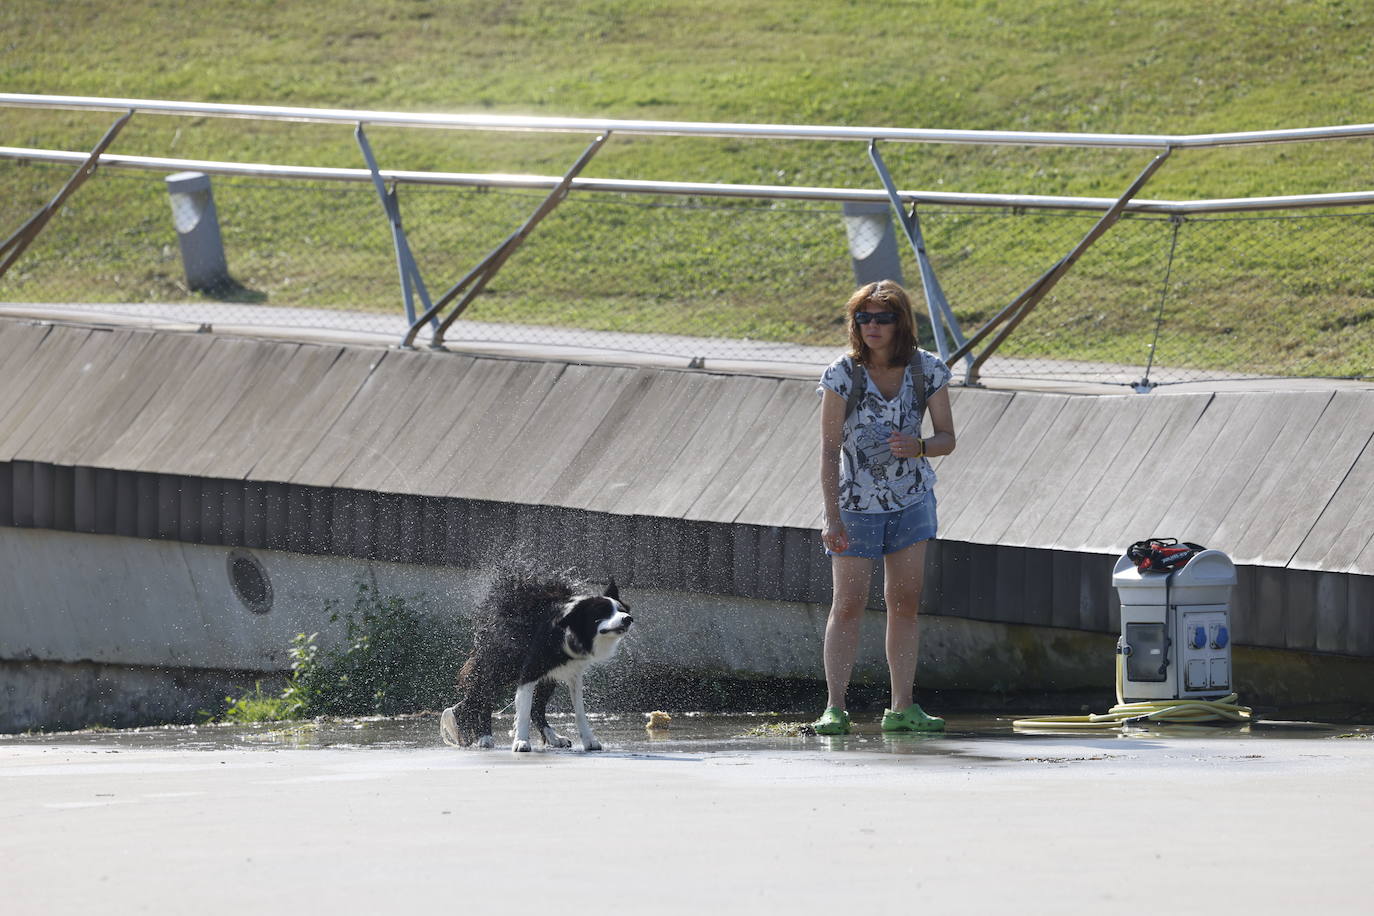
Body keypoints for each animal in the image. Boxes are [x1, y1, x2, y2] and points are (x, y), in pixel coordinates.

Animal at [439, 568, 632, 758]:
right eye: (603, 612)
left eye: (622, 609)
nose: (628, 618)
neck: (568, 628)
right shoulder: (530, 668)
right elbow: (523, 710)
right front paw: (521, 742)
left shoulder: (574, 672)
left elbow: (579, 711)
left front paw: (589, 741)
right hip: (501, 665)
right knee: (482, 697)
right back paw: (484, 736)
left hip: (545, 676)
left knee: (536, 709)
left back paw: (554, 737)